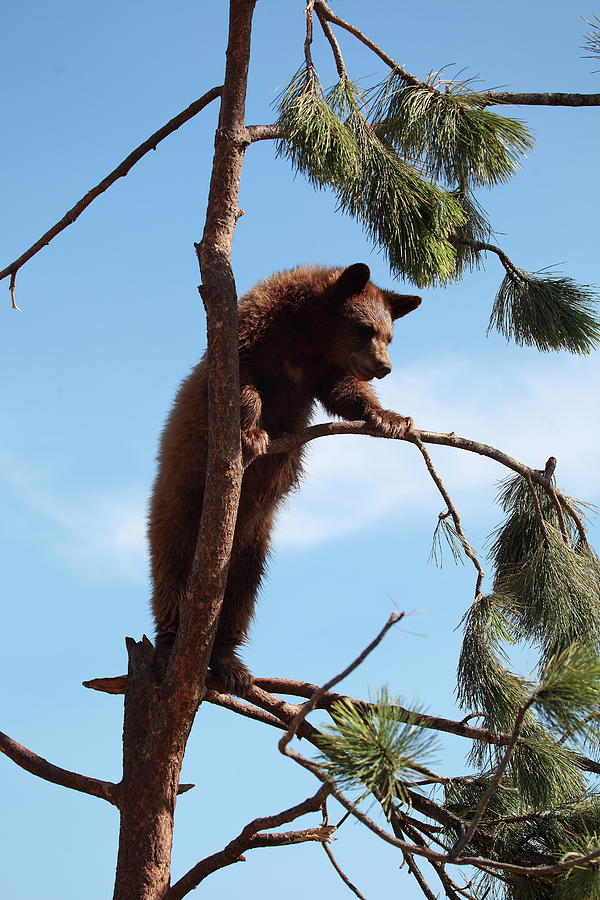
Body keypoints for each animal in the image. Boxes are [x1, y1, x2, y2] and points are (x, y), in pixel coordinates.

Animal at [150, 262, 422, 696]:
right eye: (365, 328)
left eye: (389, 335)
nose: (384, 367)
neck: (306, 338)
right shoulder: (248, 338)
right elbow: (243, 386)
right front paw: (252, 433)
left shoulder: (322, 369)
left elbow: (345, 391)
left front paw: (389, 417)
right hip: (179, 503)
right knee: (171, 574)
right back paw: (168, 647)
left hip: (254, 541)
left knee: (242, 594)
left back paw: (229, 663)